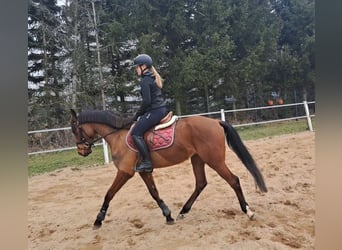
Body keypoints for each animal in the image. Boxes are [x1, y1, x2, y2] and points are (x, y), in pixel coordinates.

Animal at [69, 109, 268, 229]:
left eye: (75, 130)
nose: (81, 151)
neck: (118, 135)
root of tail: (216, 122)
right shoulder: (143, 171)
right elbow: (154, 192)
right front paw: (168, 215)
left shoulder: (125, 172)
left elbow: (109, 194)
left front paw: (98, 220)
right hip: (198, 159)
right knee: (200, 183)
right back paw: (183, 212)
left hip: (215, 161)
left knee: (233, 180)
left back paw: (248, 211)